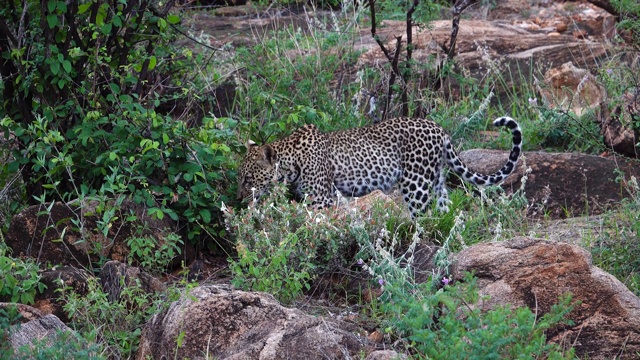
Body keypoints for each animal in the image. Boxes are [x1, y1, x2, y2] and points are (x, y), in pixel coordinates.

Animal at [235, 116, 520, 217]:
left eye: (248, 178)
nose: (239, 199)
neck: (290, 160)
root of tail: (439, 129)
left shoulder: (322, 199)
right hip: (436, 180)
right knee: (443, 209)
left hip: (416, 185)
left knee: (422, 216)